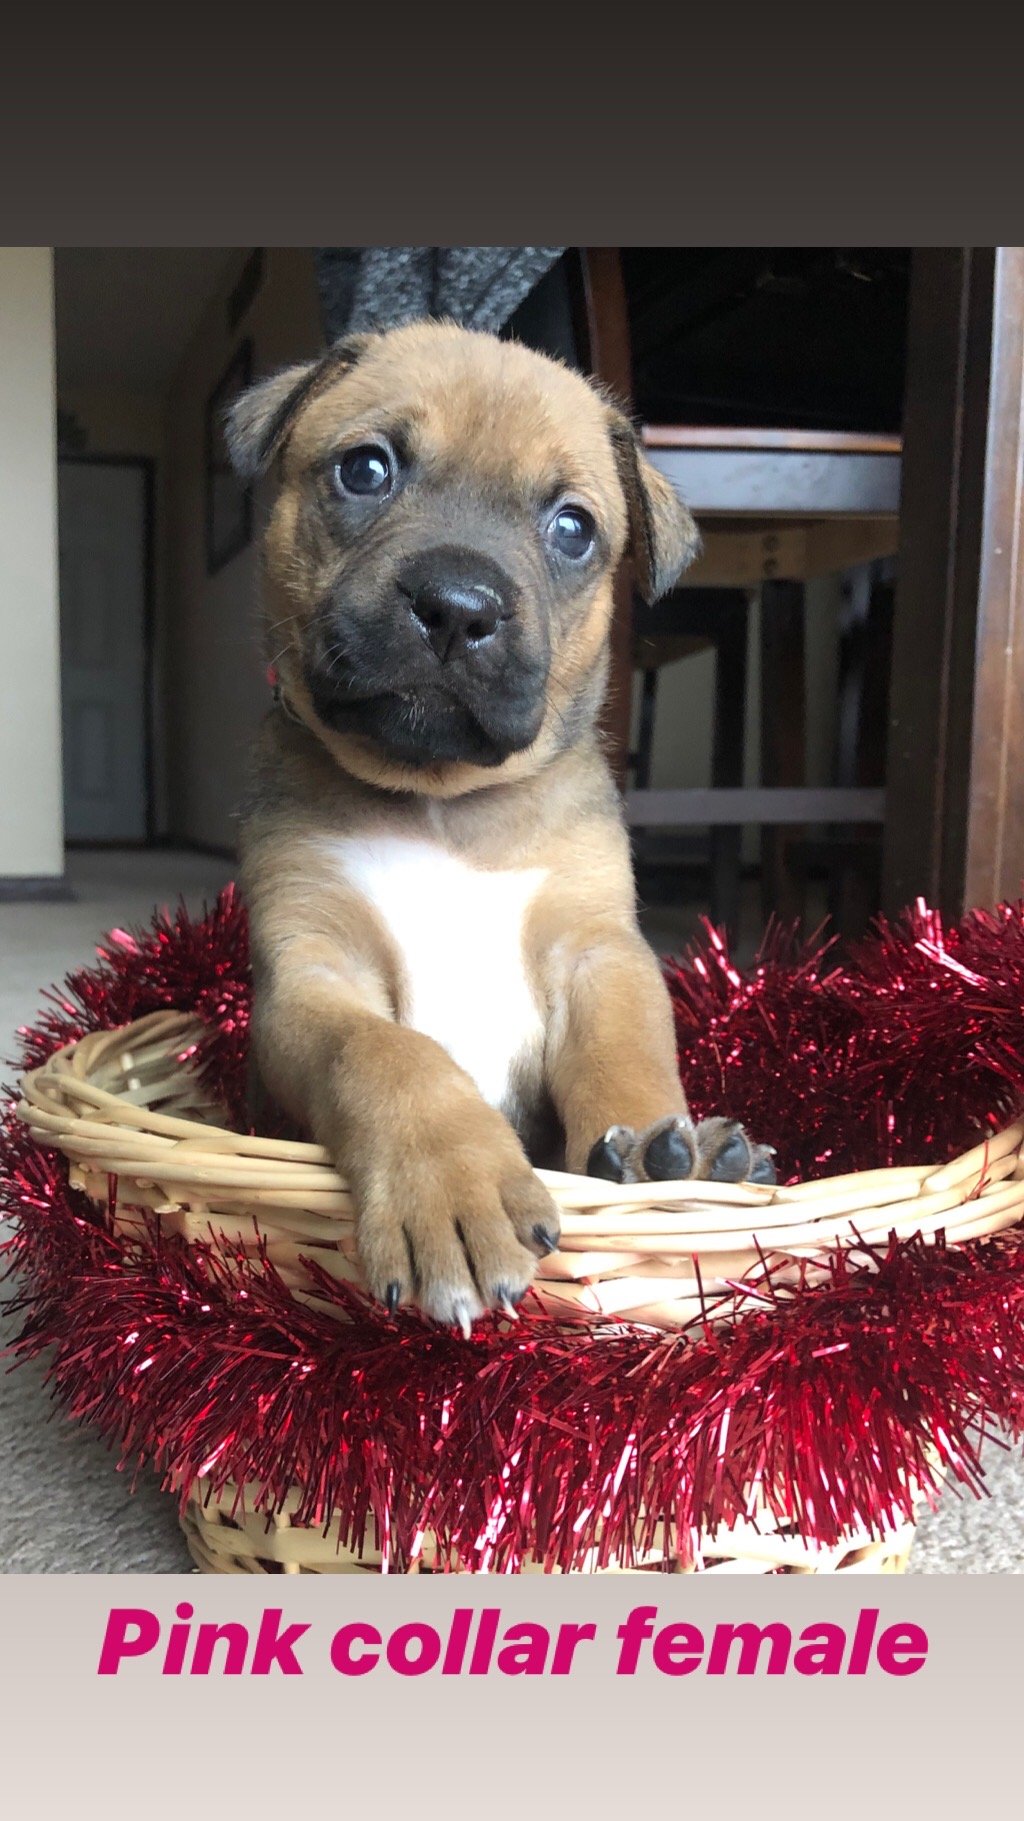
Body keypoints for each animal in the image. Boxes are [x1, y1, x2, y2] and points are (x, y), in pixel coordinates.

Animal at [225, 320, 765, 1332]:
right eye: (365, 469)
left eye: (572, 528)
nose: (457, 607)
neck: (444, 804)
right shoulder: (310, 973)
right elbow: (387, 1053)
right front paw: (451, 1186)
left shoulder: (600, 954)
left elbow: (628, 1057)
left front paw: (662, 1156)